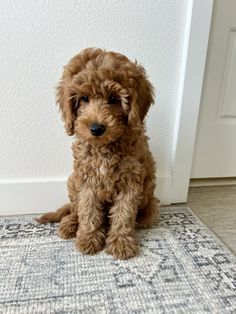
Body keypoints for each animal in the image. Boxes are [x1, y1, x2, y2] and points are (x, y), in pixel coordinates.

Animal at [37, 47, 159, 258]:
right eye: (84, 98)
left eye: (114, 99)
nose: (96, 128)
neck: (105, 147)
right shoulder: (86, 179)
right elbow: (88, 210)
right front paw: (88, 238)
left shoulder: (130, 180)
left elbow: (124, 213)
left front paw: (121, 242)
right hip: (73, 181)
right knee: (74, 209)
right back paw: (70, 224)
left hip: (151, 201)